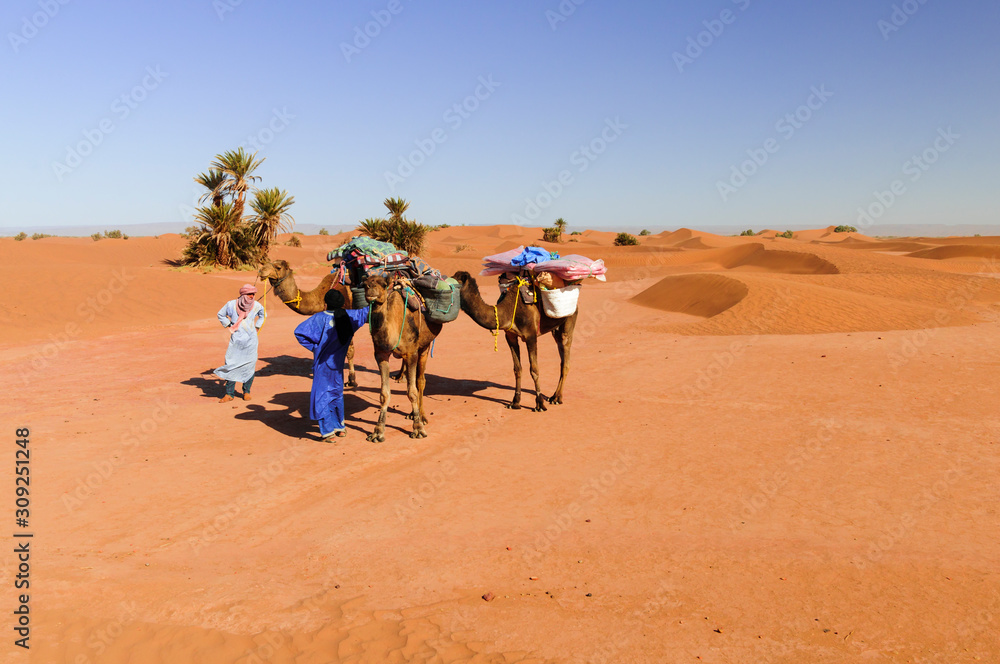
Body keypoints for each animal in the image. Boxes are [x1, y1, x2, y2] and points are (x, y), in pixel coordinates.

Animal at [364, 274, 442, 440]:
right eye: (364, 284)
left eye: (383, 284)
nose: (370, 289)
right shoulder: (380, 355)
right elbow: (384, 394)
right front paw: (378, 432)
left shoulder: (411, 353)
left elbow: (412, 392)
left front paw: (418, 429)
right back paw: (413, 413)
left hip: (424, 346)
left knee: (420, 381)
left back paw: (422, 416)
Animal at [454, 270, 580, 410]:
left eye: (453, 283)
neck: (507, 310)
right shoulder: (510, 336)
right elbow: (517, 369)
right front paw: (515, 402)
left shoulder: (531, 335)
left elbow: (534, 369)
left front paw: (539, 404)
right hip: (555, 329)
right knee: (561, 356)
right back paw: (554, 397)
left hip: (570, 319)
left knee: (566, 357)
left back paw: (557, 398)